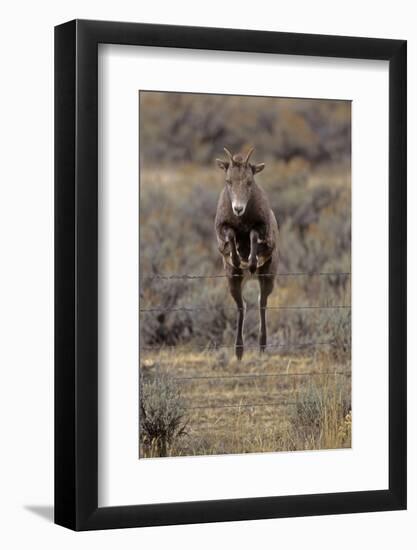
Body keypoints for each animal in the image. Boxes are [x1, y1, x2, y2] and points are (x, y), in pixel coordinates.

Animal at [213, 148, 278, 362]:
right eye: (228, 180)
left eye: (249, 181)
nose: (238, 209)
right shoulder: (224, 228)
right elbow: (232, 236)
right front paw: (237, 259)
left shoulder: (260, 228)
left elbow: (253, 235)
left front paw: (250, 262)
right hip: (233, 280)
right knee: (241, 306)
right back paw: (239, 351)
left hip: (267, 277)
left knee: (261, 304)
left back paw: (262, 347)